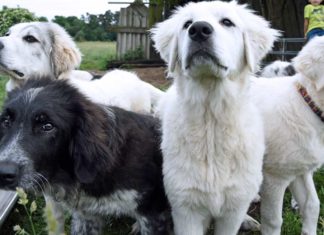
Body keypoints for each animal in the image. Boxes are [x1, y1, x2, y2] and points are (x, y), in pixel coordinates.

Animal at [151, 0, 278, 234]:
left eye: (227, 22)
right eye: (187, 24)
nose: (199, 30)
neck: (211, 119)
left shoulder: (231, 211)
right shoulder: (185, 209)